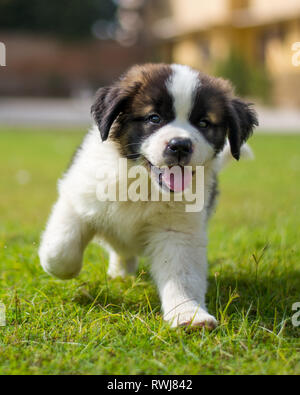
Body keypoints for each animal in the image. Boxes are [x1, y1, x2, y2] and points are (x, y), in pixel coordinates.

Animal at [38, 65, 258, 330]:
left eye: (204, 123)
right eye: (154, 118)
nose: (180, 145)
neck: (142, 180)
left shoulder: (178, 231)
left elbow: (181, 275)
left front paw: (188, 313)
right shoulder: (78, 196)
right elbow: (60, 251)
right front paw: (62, 269)